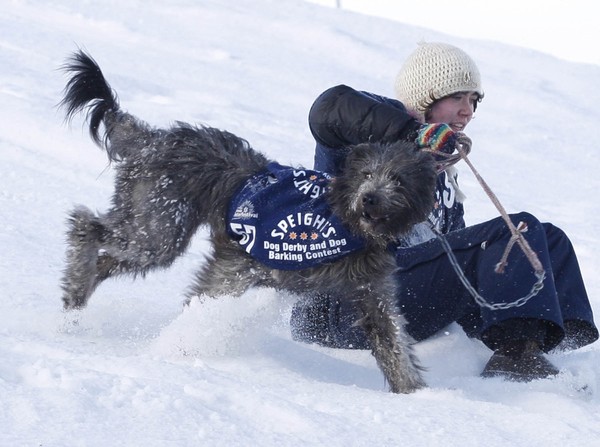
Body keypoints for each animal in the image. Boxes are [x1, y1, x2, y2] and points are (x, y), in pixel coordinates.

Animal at [59, 50, 436, 396]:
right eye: (367, 174)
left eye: (399, 180)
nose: (369, 199)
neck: (340, 215)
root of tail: (153, 141)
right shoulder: (241, 264)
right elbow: (205, 302)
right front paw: (178, 347)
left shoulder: (371, 289)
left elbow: (391, 341)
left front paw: (415, 394)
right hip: (158, 226)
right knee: (85, 225)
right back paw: (74, 293)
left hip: (152, 227)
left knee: (105, 257)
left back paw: (77, 302)